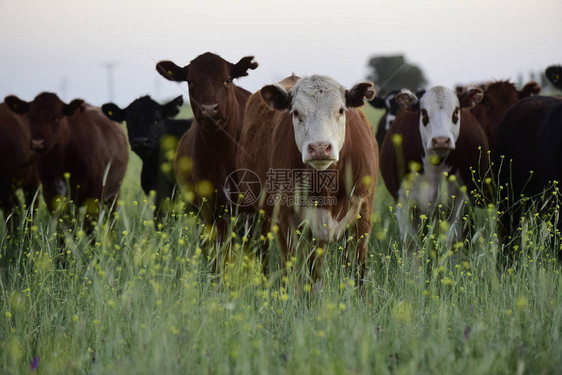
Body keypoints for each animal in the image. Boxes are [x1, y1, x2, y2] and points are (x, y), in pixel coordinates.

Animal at [378, 86, 488, 248]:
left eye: (456, 111)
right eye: (423, 112)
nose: (441, 140)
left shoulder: (459, 201)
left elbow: (452, 240)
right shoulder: (403, 201)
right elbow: (411, 242)